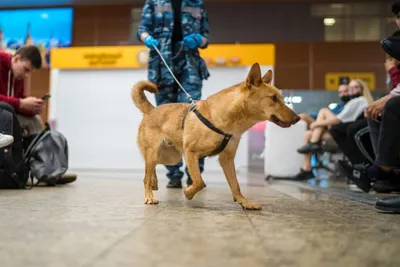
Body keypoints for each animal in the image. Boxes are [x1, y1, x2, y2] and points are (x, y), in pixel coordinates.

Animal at [133, 63, 298, 211]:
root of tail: (151, 110)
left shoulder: (227, 159)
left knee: (151, 167)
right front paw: (188, 192)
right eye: (274, 98)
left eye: (280, 97)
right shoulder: (191, 153)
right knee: (146, 175)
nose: (297, 118)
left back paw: (154, 182)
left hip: (171, 157)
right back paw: (149, 195)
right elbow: (199, 181)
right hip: (156, 152)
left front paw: (244, 202)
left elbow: (235, 185)